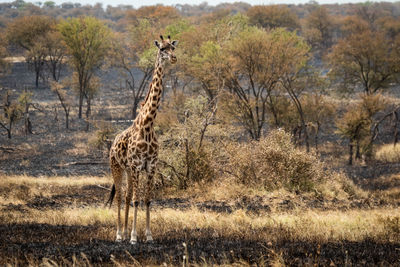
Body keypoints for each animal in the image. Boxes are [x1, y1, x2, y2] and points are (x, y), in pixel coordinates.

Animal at [108, 35, 178, 245]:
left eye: (173, 47)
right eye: (162, 48)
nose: (174, 58)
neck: (148, 124)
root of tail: (112, 143)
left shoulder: (150, 166)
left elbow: (146, 200)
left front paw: (148, 235)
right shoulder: (138, 165)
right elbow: (137, 200)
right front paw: (133, 237)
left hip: (129, 170)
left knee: (127, 196)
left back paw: (123, 232)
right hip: (117, 167)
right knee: (120, 197)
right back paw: (119, 234)